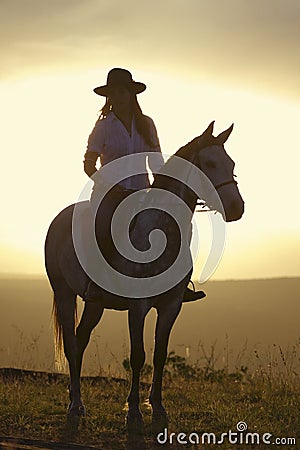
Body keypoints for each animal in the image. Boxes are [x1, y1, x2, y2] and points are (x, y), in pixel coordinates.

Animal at [44, 121, 245, 428]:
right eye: (209, 163)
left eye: (231, 163)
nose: (236, 208)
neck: (162, 231)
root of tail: (58, 220)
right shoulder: (138, 306)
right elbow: (138, 355)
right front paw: (134, 411)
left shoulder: (171, 306)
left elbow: (160, 354)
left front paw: (159, 408)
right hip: (64, 294)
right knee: (70, 343)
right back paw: (75, 404)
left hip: (95, 304)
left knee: (80, 340)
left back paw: (75, 399)